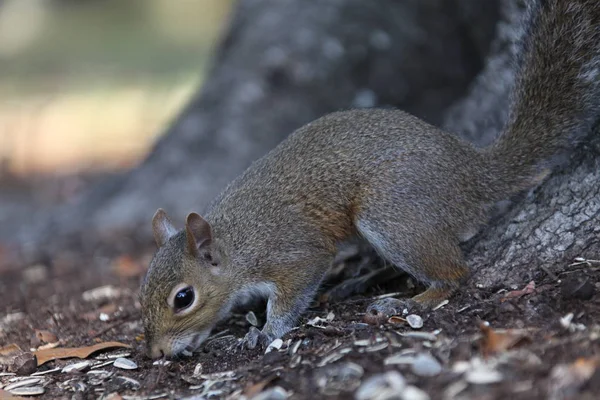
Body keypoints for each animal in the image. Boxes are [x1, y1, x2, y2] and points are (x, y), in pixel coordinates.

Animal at [139, 0, 600, 358]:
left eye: (184, 298)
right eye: (142, 290)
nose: (157, 352)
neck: (236, 243)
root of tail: (474, 173)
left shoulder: (294, 256)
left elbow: (291, 296)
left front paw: (265, 332)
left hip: (391, 210)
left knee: (455, 274)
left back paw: (409, 300)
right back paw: (360, 281)